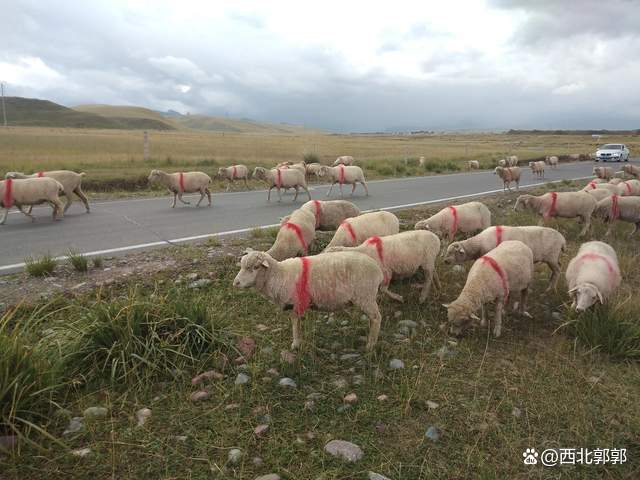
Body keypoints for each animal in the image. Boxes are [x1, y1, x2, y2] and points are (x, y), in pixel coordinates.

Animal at [235, 249, 384, 350]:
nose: (235, 283)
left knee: (376, 318)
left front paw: (295, 343)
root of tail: (378, 269)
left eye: (255, 267)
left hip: (365, 296)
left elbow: (295, 323)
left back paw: (370, 345)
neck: (279, 274)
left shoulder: (296, 303)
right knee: (372, 318)